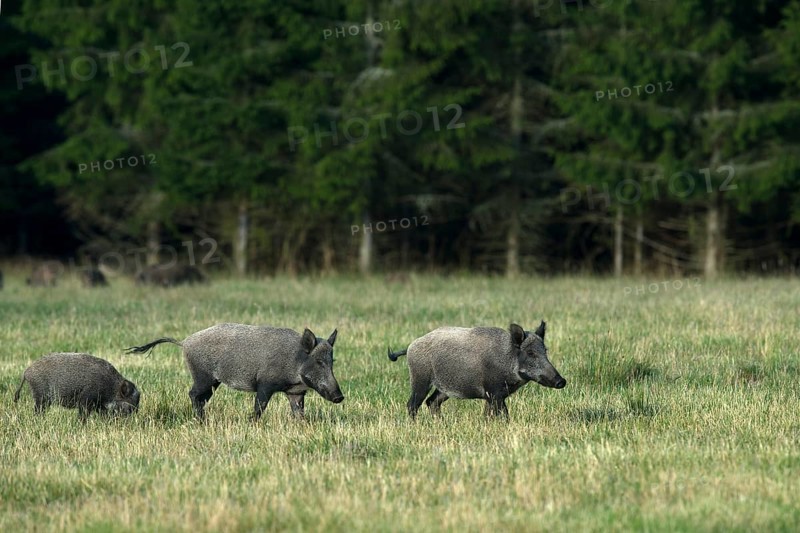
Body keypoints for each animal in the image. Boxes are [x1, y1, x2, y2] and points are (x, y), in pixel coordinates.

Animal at [126, 323, 343, 421]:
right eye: (318, 361)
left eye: (331, 361)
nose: (339, 397)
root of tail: (185, 342)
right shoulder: (264, 384)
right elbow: (260, 406)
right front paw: (252, 423)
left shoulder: (295, 392)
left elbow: (299, 412)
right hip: (203, 376)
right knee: (193, 394)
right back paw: (202, 421)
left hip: (213, 382)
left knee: (201, 398)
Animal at [388, 321, 566, 419]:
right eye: (530, 353)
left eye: (545, 350)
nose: (561, 381)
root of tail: (410, 346)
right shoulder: (494, 392)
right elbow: (504, 414)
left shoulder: (492, 396)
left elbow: (488, 415)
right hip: (420, 379)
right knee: (412, 404)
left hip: (443, 389)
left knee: (431, 402)